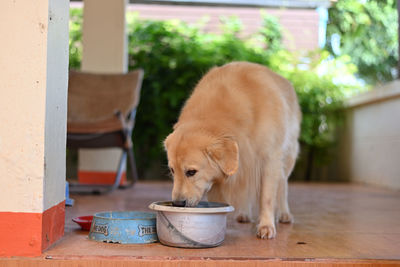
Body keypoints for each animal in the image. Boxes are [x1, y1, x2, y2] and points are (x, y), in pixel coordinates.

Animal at [163, 61, 300, 239]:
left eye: (191, 172)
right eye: (172, 171)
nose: (177, 203)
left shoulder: (269, 159)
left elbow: (267, 197)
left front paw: (266, 225)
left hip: (287, 158)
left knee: (282, 185)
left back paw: (284, 214)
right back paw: (244, 213)